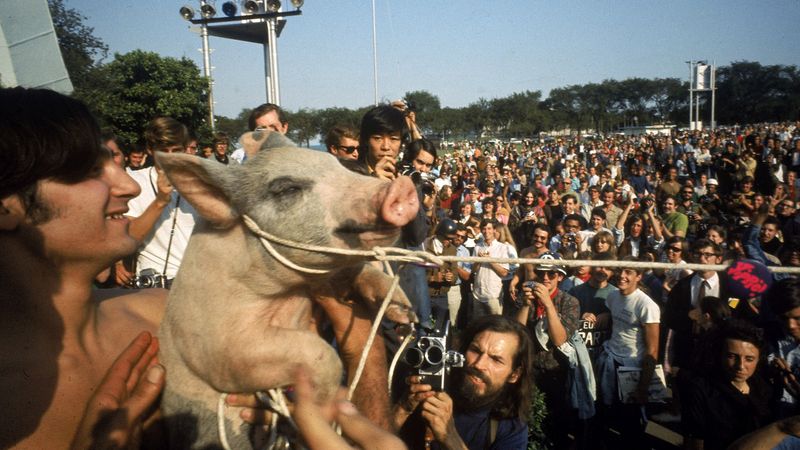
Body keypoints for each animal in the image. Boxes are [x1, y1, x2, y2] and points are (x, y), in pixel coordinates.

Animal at [155, 132, 418, 448]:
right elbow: (320, 353)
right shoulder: (220, 346)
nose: (401, 186)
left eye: (338, 165)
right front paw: (322, 406)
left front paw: (405, 313)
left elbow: (360, 270)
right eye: (287, 189)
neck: (288, 293)